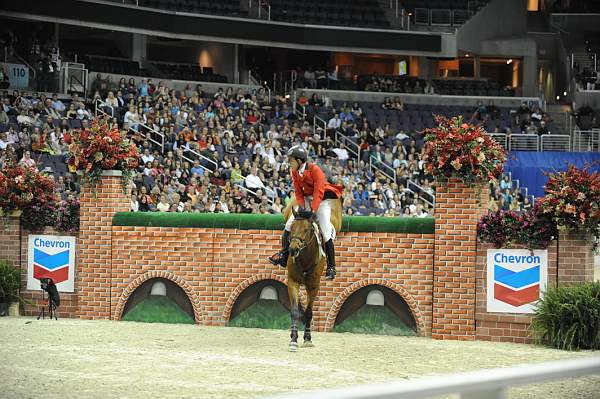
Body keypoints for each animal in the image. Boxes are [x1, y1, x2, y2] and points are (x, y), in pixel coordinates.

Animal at [282, 197, 340, 354]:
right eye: (292, 228)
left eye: (307, 230)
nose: (292, 249)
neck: (304, 257)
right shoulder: (293, 282)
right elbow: (295, 311)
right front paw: (293, 339)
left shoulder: (313, 287)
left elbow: (308, 312)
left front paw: (307, 338)